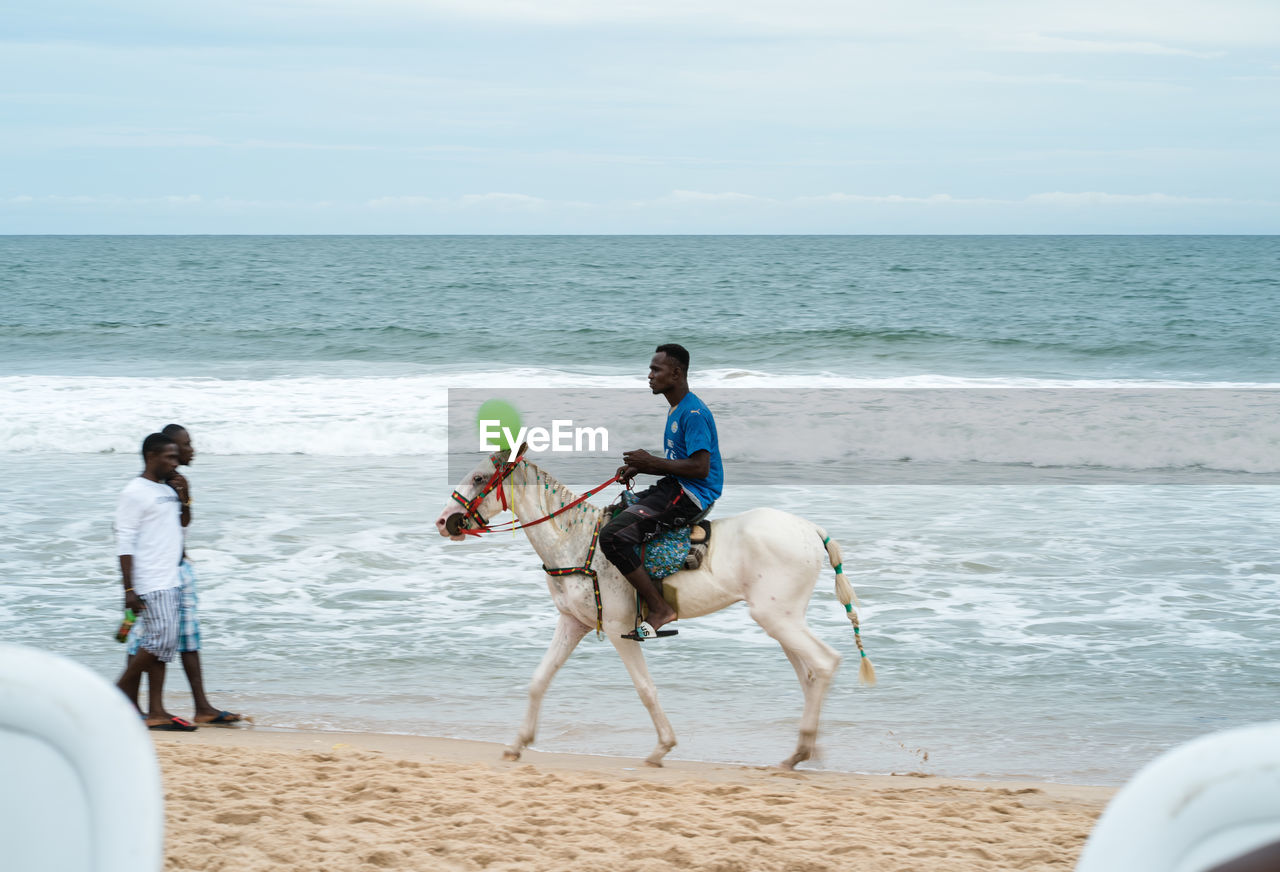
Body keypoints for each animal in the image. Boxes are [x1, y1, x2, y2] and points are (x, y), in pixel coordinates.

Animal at [435, 448, 875, 768]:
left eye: (479, 478)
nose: (445, 521)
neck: (577, 542)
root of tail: (810, 530)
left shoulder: (619, 630)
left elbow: (646, 690)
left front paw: (663, 747)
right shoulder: (572, 623)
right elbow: (539, 680)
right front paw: (518, 743)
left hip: (776, 617)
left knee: (824, 663)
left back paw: (802, 749)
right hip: (781, 620)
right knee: (809, 675)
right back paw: (804, 751)